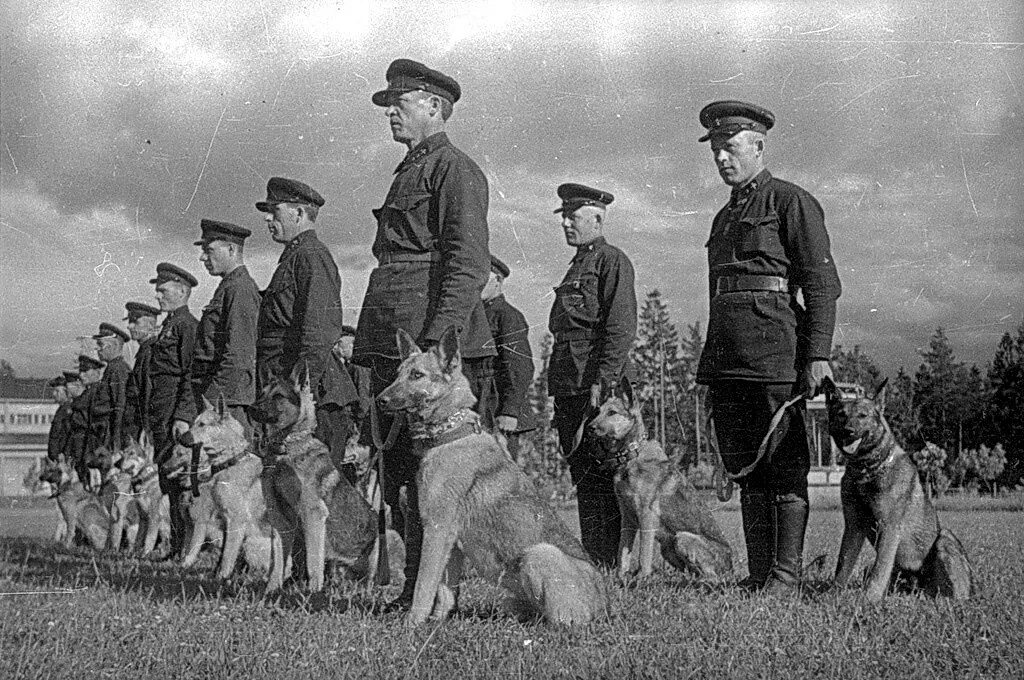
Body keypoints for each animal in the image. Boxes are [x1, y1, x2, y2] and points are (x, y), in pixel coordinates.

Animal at [177, 399, 280, 585]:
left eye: (202, 424)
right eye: (193, 423)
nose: (180, 438)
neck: (231, 462)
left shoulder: (235, 521)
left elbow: (227, 555)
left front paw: (221, 579)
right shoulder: (226, 519)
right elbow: (225, 552)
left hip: (251, 543)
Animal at [251, 366, 380, 589]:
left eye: (278, 396)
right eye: (261, 394)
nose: (252, 409)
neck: (284, 450)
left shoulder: (313, 515)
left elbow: (313, 564)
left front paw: (312, 593)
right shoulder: (280, 520)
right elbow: (277, 564)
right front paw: (271, 591)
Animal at [378, 327, 606, 622]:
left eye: (417, 375)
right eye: (398, 374)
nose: (380, 400)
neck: (451, 433)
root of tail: (604, 606)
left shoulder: (436, 531)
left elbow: (423, 587)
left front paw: (412, 625)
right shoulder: (451, 543)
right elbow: (445, 591)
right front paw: (437, 623)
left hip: (539, 554)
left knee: (561, 622)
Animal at [585, 374, 737, 581]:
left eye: (612, 413)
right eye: (597, 412)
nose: (589, 428)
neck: (631, 455)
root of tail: (731, 566)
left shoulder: (646, 517)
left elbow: (643, 555)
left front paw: (641, 580)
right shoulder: (628, 518)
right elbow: (623, 552)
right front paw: (620, 578)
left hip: (682, 538)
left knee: (712, 576)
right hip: (668, 547)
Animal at [819, 376, 970, 602]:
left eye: (862, 415)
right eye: (841, 414)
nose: (848, 431)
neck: (867, 471)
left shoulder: (888, 527)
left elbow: (879, 570)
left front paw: (868, 599)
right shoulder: (854, 526)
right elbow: (843, 565)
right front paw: (832, 595)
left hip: (944, 537)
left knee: (951, 595)